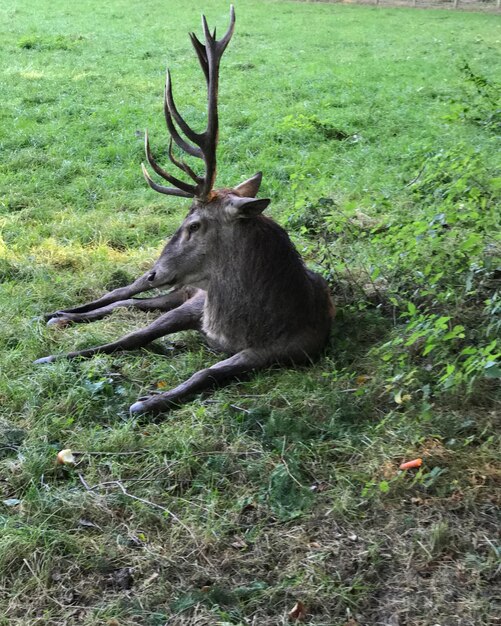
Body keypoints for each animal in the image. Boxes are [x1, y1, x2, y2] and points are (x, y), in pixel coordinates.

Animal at [37, 7, 334, 414]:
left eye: (193, 225)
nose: (153, 271)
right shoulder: (195, 307)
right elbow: (132, 337)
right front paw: (53, 357)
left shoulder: (291, 348)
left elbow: (208, 372)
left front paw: (151, 402)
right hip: (172, 291)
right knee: (121, 293)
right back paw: (56, 314)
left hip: (177, 290)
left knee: (131, 302)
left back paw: (66, 316)